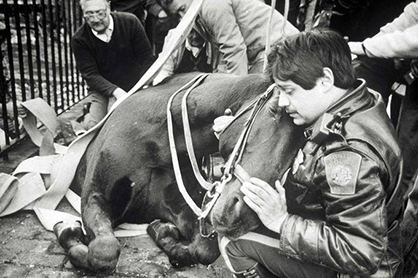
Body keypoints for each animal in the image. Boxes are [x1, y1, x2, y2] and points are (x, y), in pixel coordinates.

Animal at [57, 71, 302, 274]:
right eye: (274, 110)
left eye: (299, 151)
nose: (244, 215)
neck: (159, 139)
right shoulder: (95, 196)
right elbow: (103, 251)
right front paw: (68, 233)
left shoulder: (179, 206)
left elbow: (204, 249)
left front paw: (162, 231)